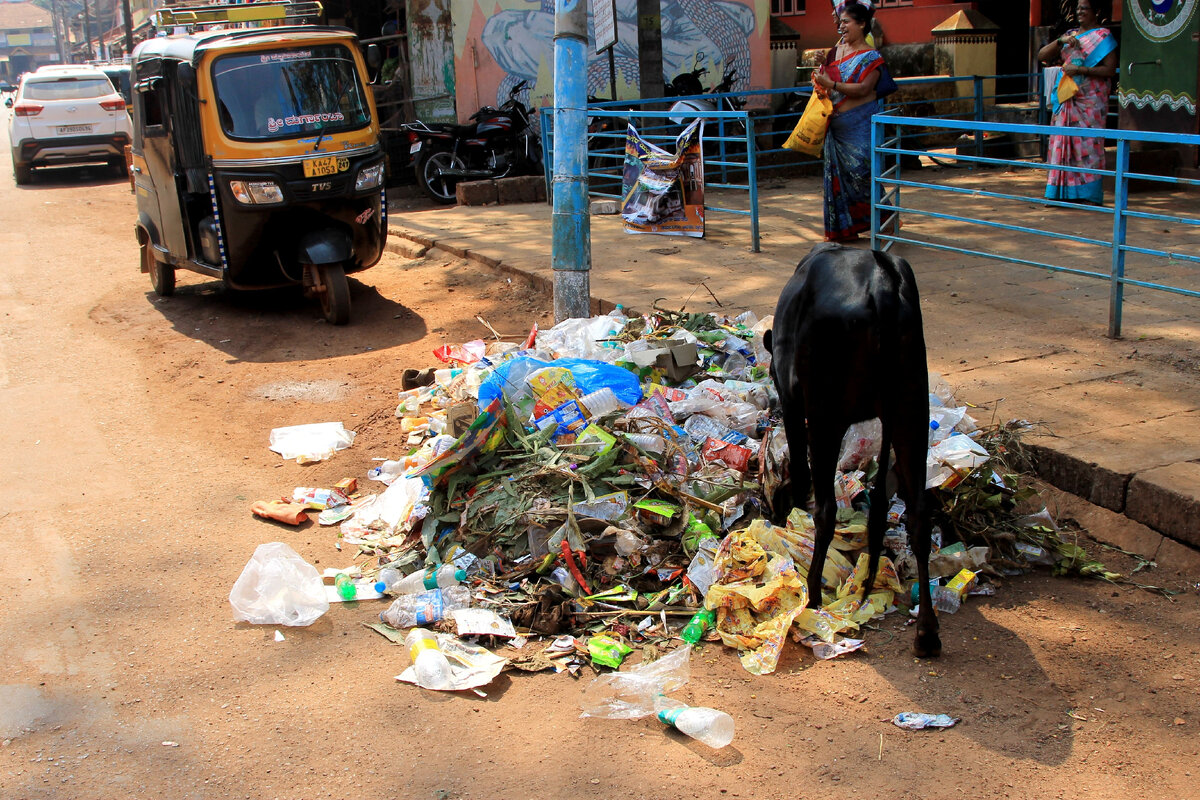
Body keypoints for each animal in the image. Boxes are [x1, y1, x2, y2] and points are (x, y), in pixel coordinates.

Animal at [768, 242, 936, 657]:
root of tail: (883, 284)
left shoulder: (794, 402)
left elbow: (801, 475)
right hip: (912, 405)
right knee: (918, 516)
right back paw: (926, 632)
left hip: (826, 412)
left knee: (826, 509)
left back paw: (812, 593)